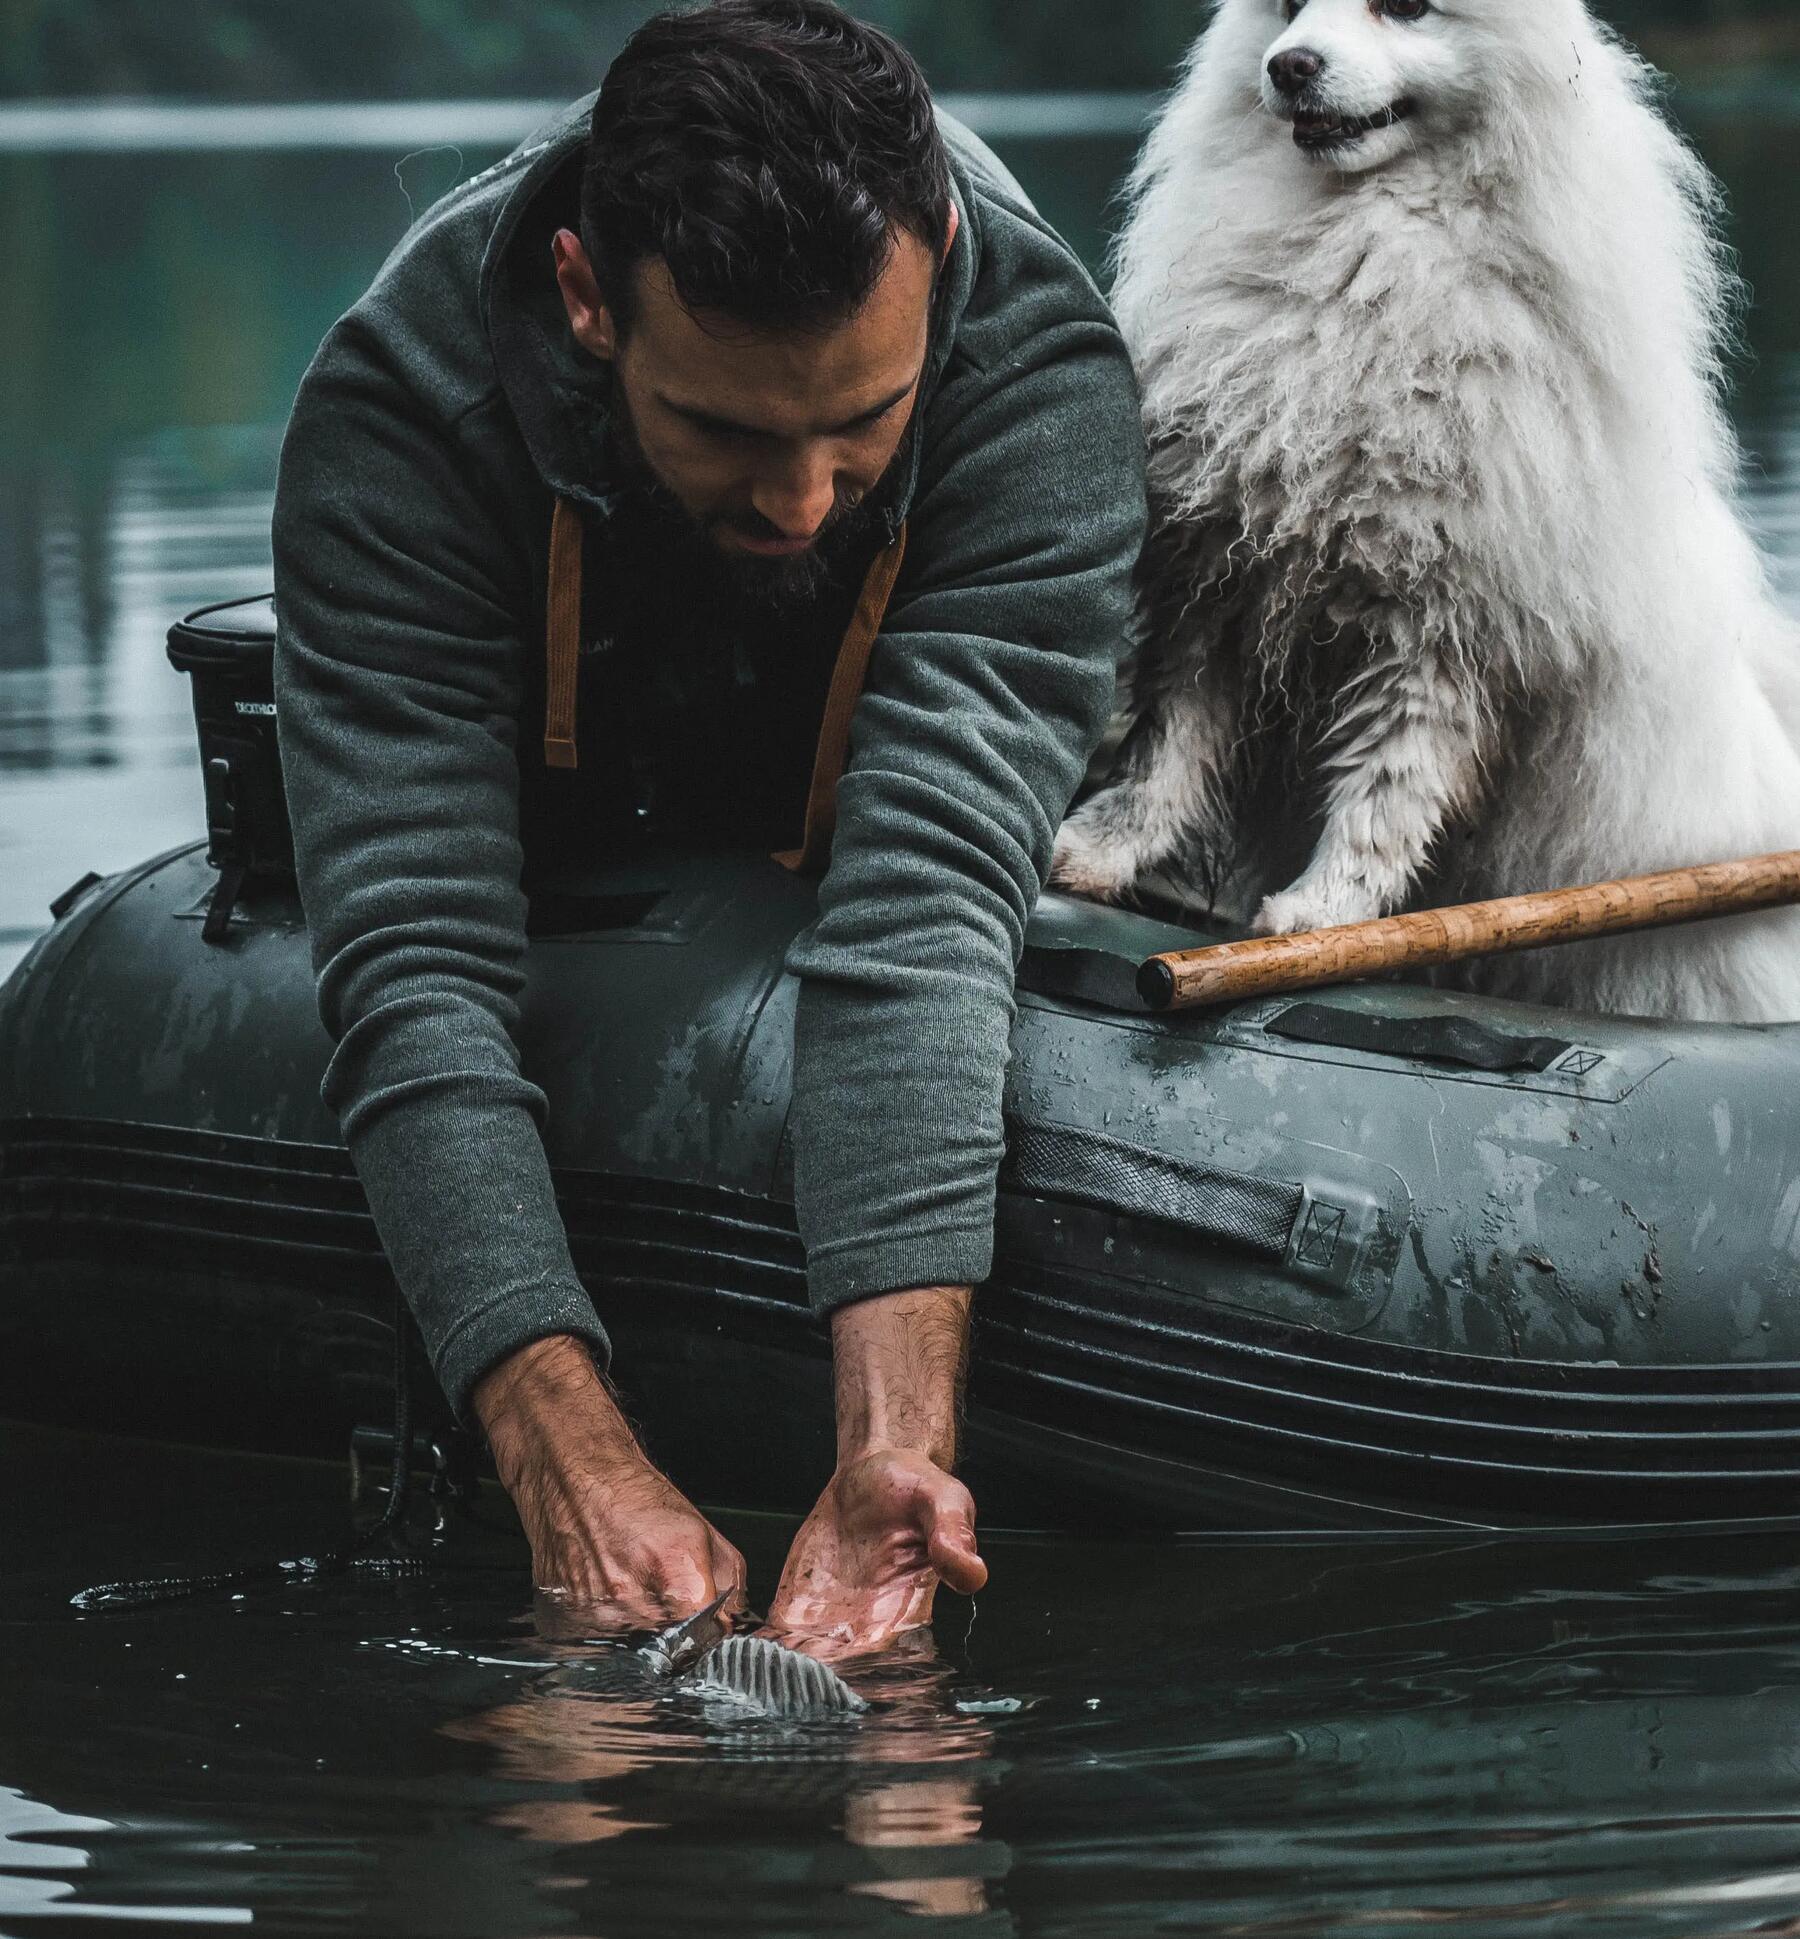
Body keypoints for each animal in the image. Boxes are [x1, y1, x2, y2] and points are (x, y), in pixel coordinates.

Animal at [1055, 0, 1800, 1023]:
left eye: (1405, 8)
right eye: (1287, 12)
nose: (1290, 67)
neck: (1359, 249)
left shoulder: (1443, 623)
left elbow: (1387, 791)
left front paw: (1323, 915)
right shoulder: (1223, 569)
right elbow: (1167, 744)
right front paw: (1097, 851)